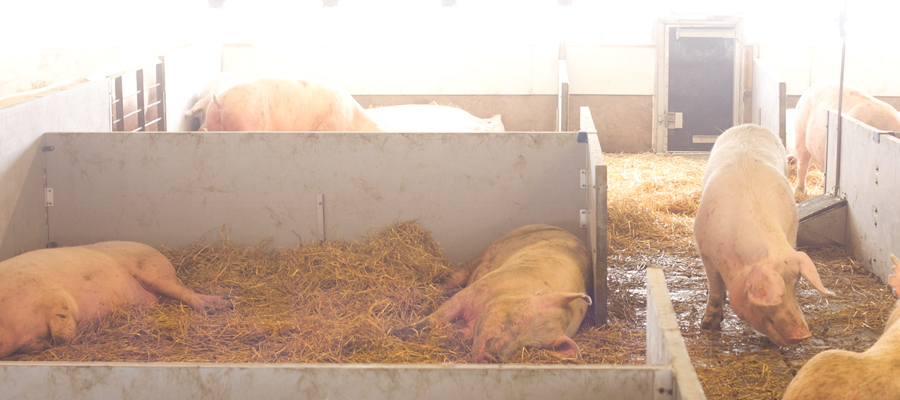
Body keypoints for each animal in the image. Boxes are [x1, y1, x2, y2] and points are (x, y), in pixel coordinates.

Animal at [0, 239, 232, 358]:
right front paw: (43, 346)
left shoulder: (55, 299)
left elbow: (63, 335)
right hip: (162, 290)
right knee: (184, 293)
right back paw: (225, 302)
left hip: (154, 273)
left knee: (186, 292)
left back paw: (210, 310)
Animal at [388, 223, 592, 364]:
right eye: (522, 317)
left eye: (529, 347)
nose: (492, 359)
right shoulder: (477, 290)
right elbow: (437, 317)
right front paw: (393, 332)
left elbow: (457, 333)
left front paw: (450, 335)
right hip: (484, 253)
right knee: (457, 276)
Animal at [696, 123, 836, 346]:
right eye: (767, 292)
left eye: (795, 284)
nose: (803, 334)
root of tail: (750, 125)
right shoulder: (706, 252)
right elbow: (716, 291)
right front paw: (708, 327)